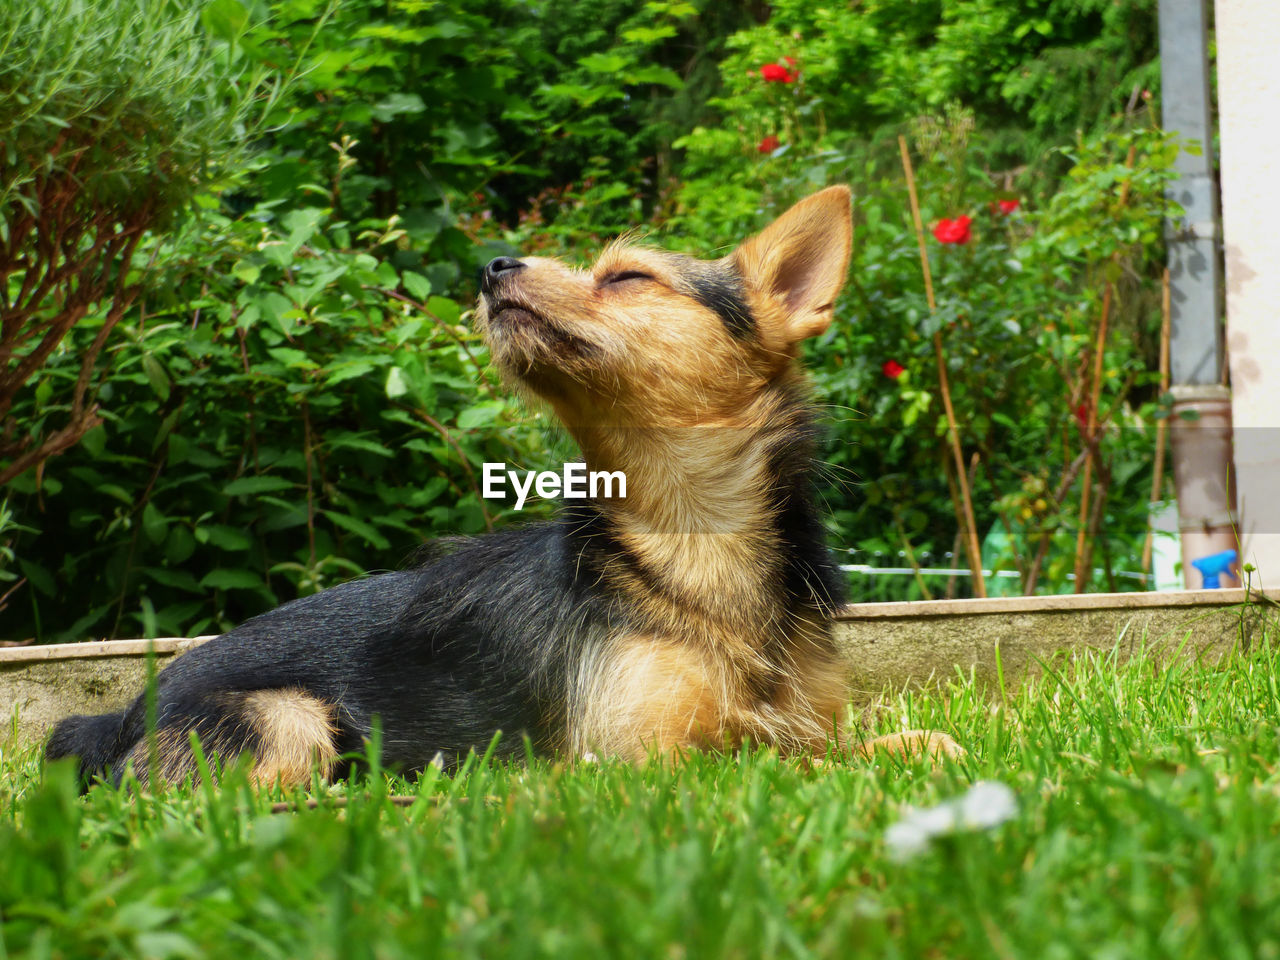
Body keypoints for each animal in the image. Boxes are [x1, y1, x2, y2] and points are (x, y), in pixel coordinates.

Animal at [42, 188, 962, 788]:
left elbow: (910, 744)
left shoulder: (810, 726)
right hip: (286, 718)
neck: (690, 545)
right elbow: (768, 766)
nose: (490, 265)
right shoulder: (638, 761)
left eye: (628, 278)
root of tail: (114, 717)